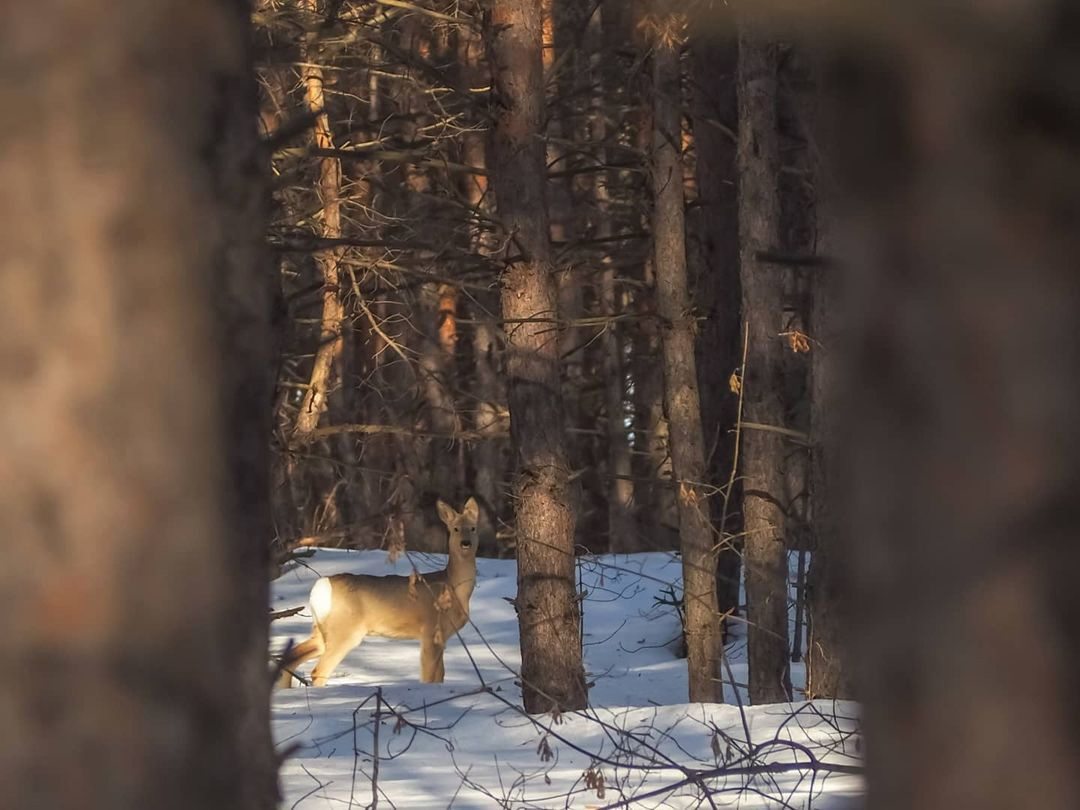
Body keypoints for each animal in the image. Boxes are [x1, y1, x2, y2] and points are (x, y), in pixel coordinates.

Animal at [276, 498, 479, 686]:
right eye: (455, 529)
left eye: (473, 528)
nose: (466, 543)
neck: (454, 588)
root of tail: (321, 586)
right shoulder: (431, 631)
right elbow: (430, 676)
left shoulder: (440, 636)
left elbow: (439, 675)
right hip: (345, 628)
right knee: (319, 670)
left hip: (321, 628)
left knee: (292, 657)